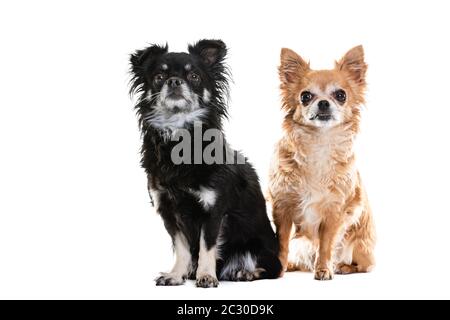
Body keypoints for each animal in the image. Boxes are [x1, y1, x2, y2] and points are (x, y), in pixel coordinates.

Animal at [128, 40, 280, 288]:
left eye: (194, 76)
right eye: (159, 77)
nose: (174, 81)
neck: (179, 138)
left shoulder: (213, 211)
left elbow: (206, 246)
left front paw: (207, 275)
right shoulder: (169, 212)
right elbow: (182, 248)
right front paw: (176, 275)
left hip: (258, 247)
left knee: (272, 268)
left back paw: (245, 272)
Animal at [268, 45, 374, 280]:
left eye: (341, 95)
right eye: (305, 96)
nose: (324, 102)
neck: (318, 143)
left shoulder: (334, 212)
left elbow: (326, 245)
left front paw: (324, 269)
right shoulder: (283, 207)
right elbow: (281, 242)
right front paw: (278, 268)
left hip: (360, 246)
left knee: (363, 266)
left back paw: (342, 267)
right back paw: (292, 265)